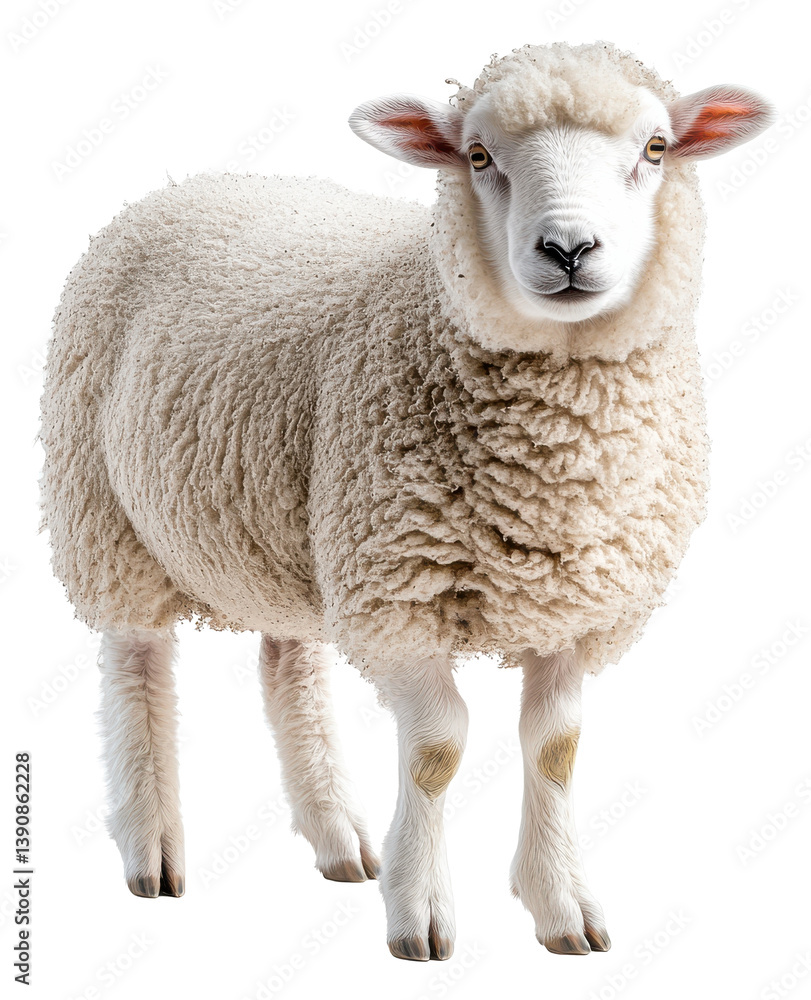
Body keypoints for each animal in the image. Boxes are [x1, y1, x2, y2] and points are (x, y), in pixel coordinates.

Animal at [38, 40, 775, 961]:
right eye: (479, 156)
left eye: (655, 148)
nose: (568, 247)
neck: (554, 460)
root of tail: (190, 183)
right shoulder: (397, 597)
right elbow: (437, 750)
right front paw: (419, 913)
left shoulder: (576, 609)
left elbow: (556, 749)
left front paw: (559, 904)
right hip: (104, 516)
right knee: (137, 668)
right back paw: (153, 848)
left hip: (287, 538)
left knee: (288, 670)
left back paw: (337, 837)